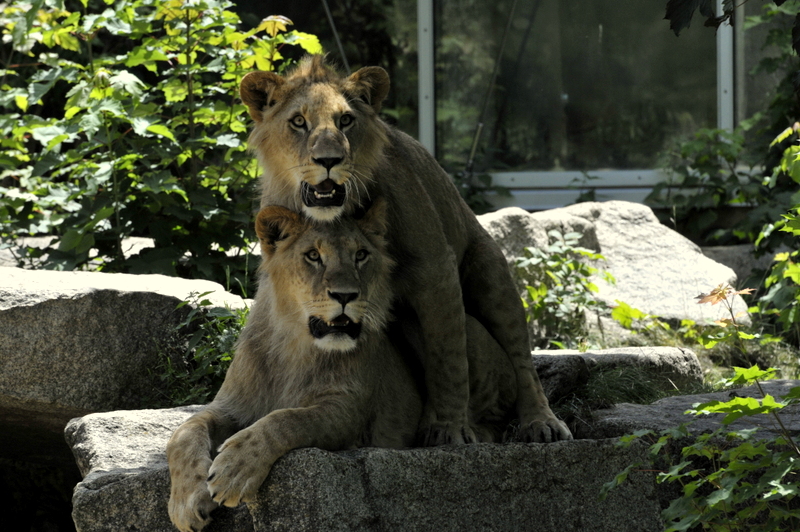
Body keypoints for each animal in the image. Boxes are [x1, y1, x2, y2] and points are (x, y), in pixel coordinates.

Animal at [167, 200, 520, 532]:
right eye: (312, 255)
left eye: (361, 255)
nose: (346, 295)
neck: (293, 345)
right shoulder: (231, 406)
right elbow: (184, 432)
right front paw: (186, 503)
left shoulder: (347, 411)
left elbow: (288, 419)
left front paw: (234, 469)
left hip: (450, 331)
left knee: (495, 417)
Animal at [239, 55, 576, 444]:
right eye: (298, 121)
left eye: (345, 121)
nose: (329, 160)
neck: (334, 213)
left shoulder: (436, 268)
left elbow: (449, 356)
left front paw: (450, 428)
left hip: (492, 274)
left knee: (521, 359)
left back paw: (540, 421)